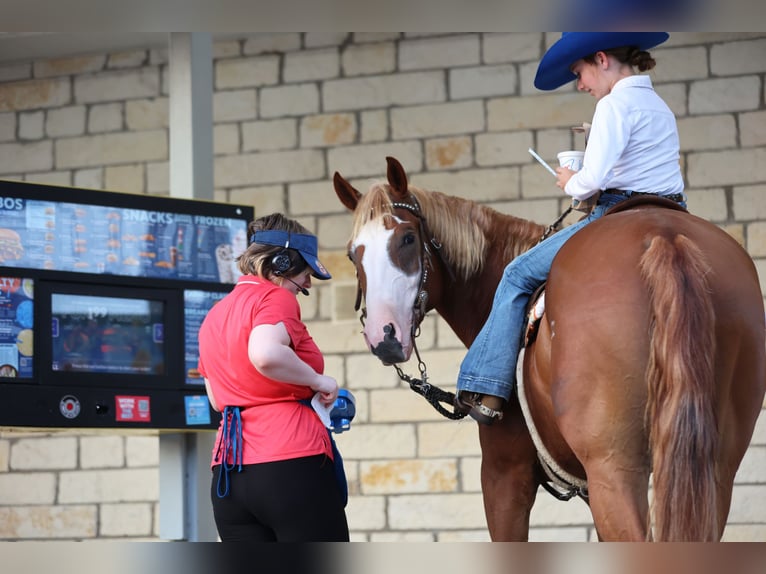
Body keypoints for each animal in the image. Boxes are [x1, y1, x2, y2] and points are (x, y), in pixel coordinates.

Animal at [333, 155, 766, 541]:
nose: (385, 336)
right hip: (712, 469)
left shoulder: (505, 474)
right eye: (353, 252)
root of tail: (664, 236)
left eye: (407, 238)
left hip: (615, 468)